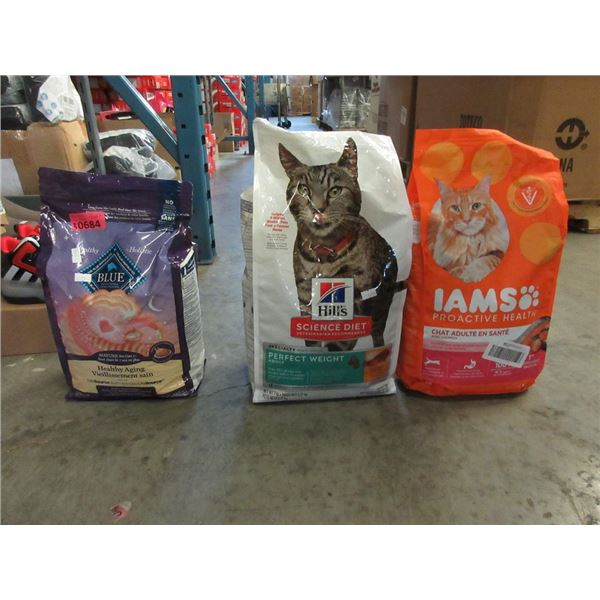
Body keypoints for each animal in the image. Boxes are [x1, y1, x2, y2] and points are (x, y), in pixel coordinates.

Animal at [278, 138, 404, 351]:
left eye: (335, 191)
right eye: (303, 190)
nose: (318, 210)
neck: (323, 256)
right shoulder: (304, 295)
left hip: (381, 303)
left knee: (378, 331)